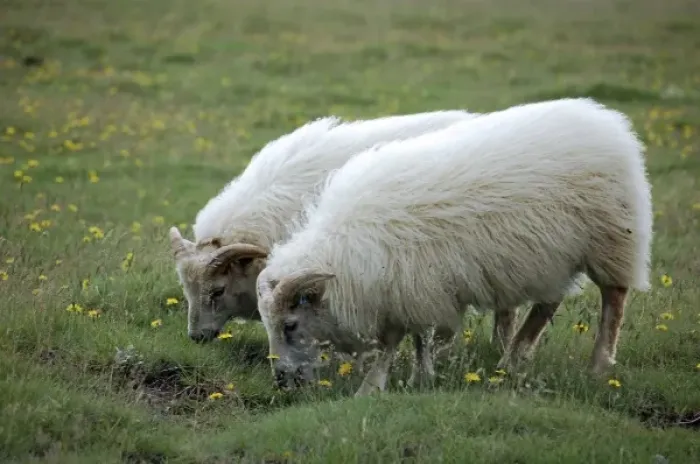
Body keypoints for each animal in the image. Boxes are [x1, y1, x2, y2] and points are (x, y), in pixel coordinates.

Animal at [256, 97, 653, 397]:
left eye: (290, 325)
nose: (282, 381)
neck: (342, 250)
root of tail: (607, 121)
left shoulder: (406, 287)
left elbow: (397, 340)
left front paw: (376, 386)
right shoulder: (414, 287)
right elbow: (417, 337)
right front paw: (419, 377)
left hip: (611, 239)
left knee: (613, 300)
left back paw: (598, 365)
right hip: (552, 255)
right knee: (548, 302)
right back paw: (512, 359)